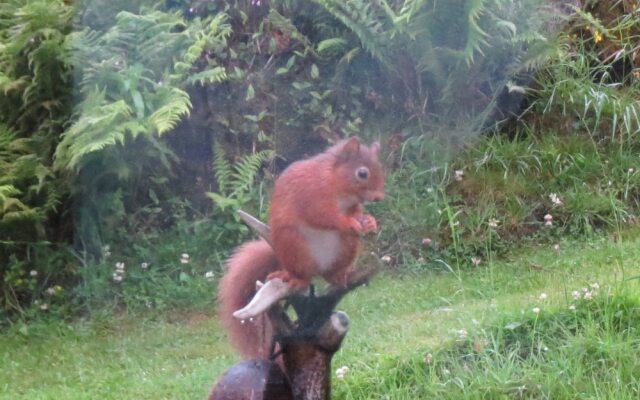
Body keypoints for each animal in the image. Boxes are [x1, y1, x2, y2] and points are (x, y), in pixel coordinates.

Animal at [218, 138, 382, 360]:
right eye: (362, 173)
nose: (379, 197)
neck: (335, 181)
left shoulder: (351, 206)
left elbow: (356, 211)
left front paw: (369, 222)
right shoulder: (311, 194)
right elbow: (322, 215)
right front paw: (348, 222)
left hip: (346, 248)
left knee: (331, 273)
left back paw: (340, 274)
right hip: (294, 246)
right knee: (303, 275)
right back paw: (298, 279)